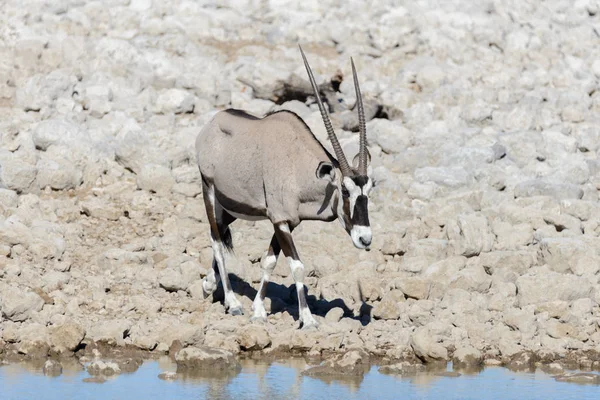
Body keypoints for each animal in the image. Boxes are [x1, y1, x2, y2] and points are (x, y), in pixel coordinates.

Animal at [197, 46, 372, 328]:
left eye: (370, 190)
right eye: (345, 191)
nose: (365, 239)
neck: (296, 165)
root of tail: (213, 123)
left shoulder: (288, 222)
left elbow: (269, 261)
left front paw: (258, 310)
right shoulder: (279, 221)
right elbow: (297, 266)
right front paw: (308, 320)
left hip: (230, 208)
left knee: (221, 235)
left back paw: (209, 285)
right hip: (209, 190)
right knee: (216, 240)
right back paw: (233, 303)